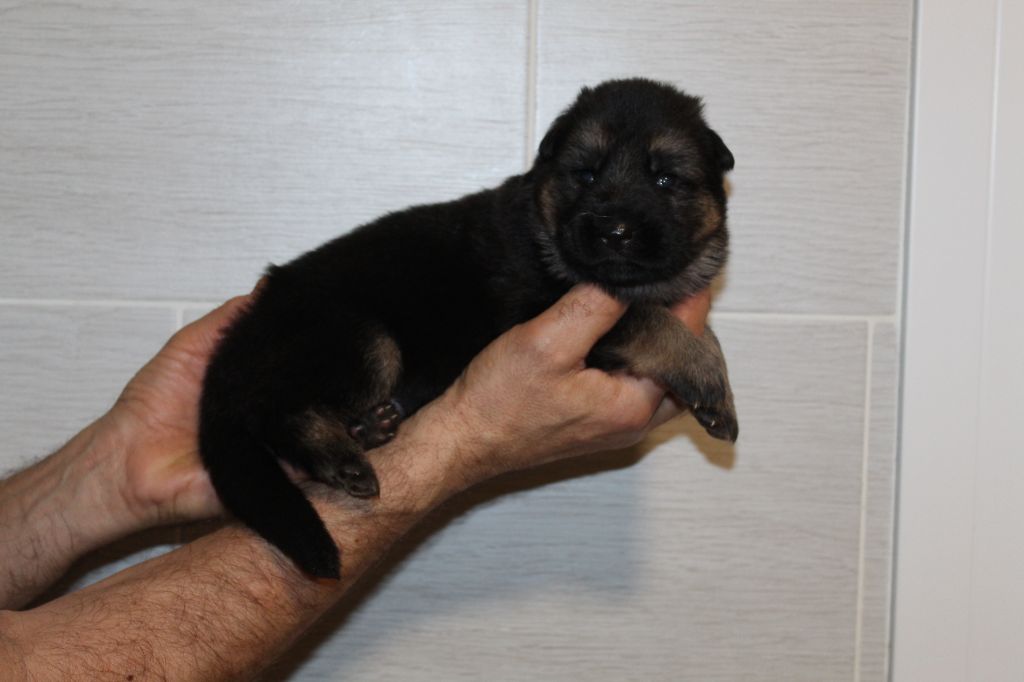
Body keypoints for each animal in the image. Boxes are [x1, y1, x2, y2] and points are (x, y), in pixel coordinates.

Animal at [199, 78, 738, 580]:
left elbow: (697, 330)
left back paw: (369, 428)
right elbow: (646, 319)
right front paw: (704, 375)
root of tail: (232, 348)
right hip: (357, 336)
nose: (614, 232)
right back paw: (338, 454)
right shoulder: (543, 309)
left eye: (666, 179)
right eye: (584, 174)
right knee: (277, 412)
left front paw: (719, 389)